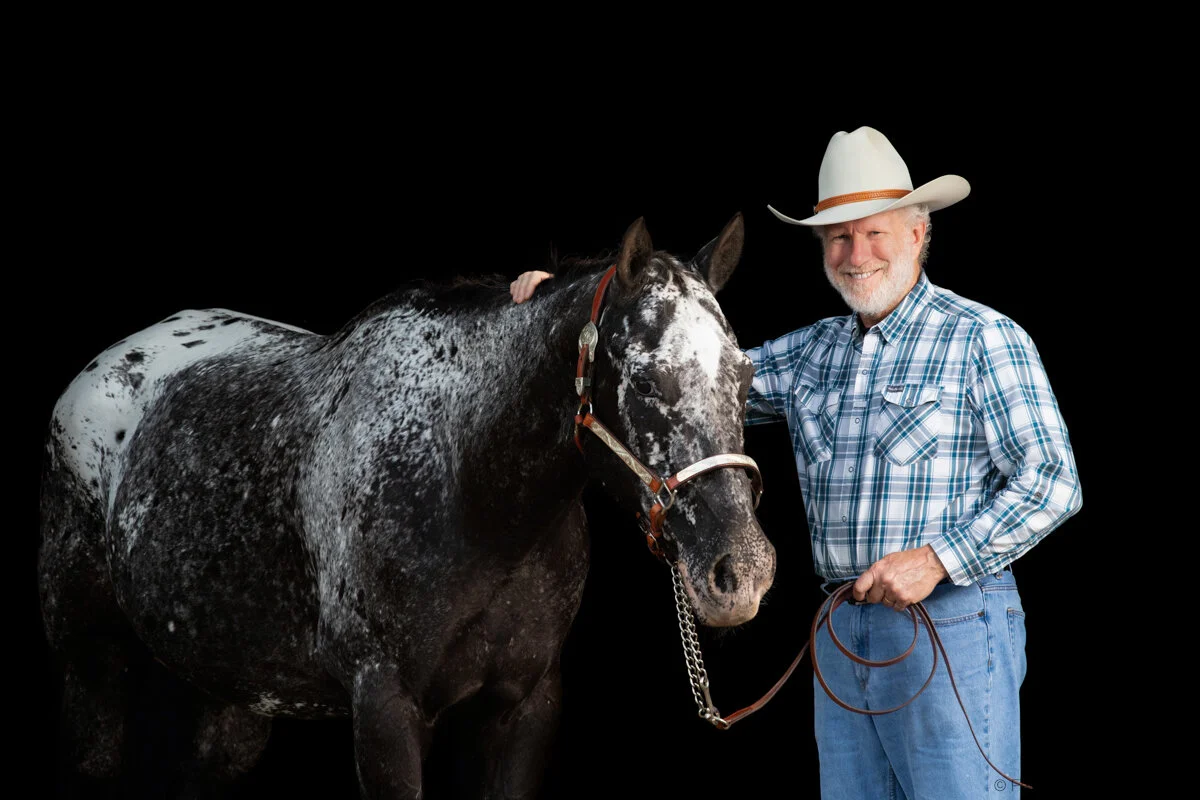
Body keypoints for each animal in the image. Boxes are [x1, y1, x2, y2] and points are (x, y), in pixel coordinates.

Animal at [39, 215, 777, 796]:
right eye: (647, 380)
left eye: (746, 377)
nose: (740, 572)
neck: (470, 489)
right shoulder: (385, 709)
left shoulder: (523, 708)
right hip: (90, 659)